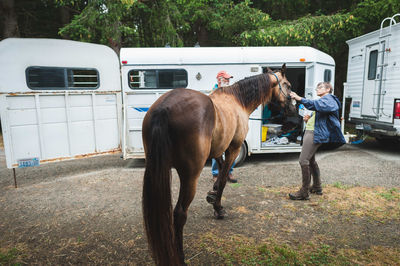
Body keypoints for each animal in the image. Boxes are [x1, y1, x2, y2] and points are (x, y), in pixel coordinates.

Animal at [143, 64, 294, 264]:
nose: (292, 108)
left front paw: (214, 198)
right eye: (288, 85)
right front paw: (218, 207)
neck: (238, 100)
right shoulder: (233, 148)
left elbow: (220, 172)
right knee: (180, 213)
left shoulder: (217, 151)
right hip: (190, 176)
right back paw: (179, 256)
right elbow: (223, 180)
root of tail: (164, 108)